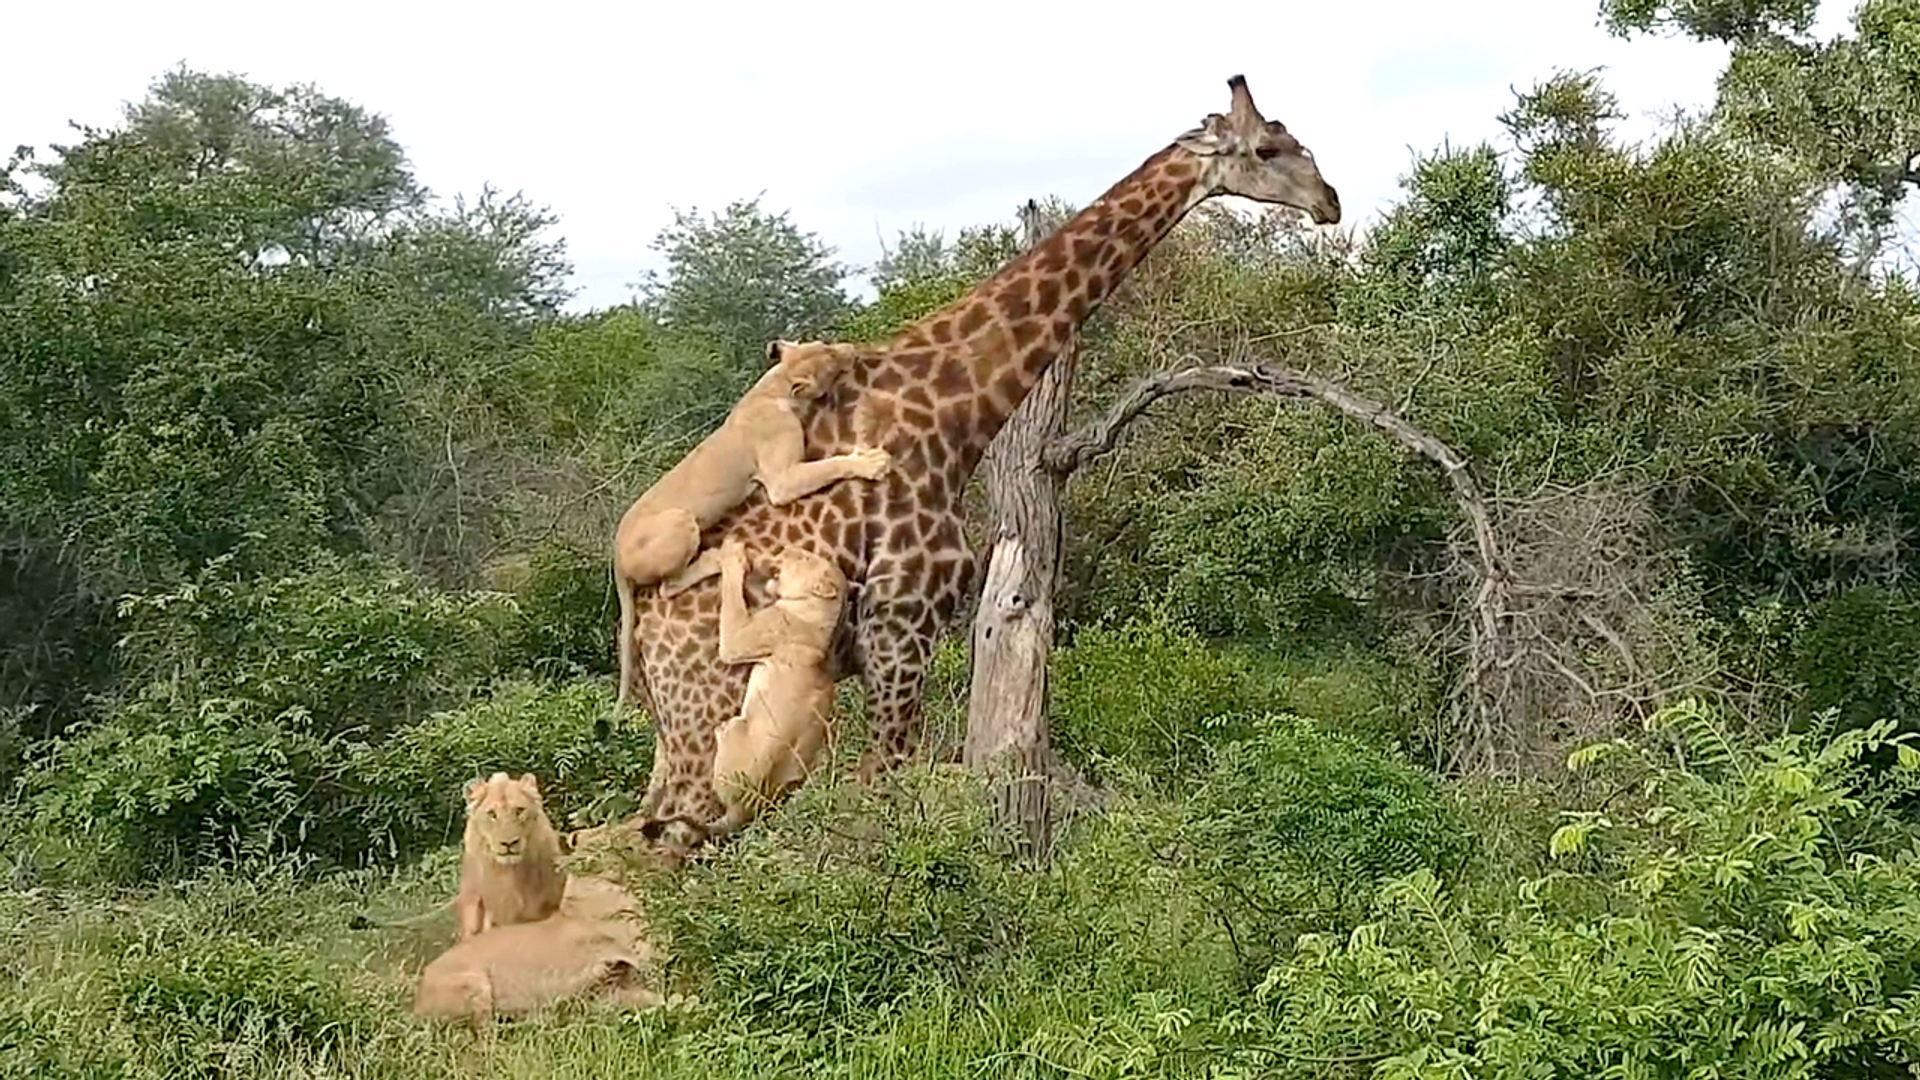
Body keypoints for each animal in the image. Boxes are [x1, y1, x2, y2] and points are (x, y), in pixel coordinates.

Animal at [624, 74, 1341, 859]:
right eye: (1267, 148)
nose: (1330, 201)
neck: (954, 417)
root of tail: (644, 635)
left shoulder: (902, 641)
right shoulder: (900, 628)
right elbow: (884, 798)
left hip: (676, 733)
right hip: (712, 714)